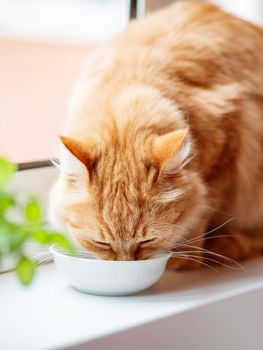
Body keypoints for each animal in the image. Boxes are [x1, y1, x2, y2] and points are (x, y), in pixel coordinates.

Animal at [48, 1, 263, 270]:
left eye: (146, 241)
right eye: (102, 244)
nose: (125, 264)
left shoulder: (228, 145)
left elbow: (201, 209)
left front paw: (186, 258)